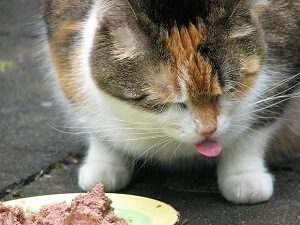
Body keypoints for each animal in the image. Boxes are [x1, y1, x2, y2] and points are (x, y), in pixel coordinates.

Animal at [42, 0, 300, 204]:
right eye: (174, 103)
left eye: (227, 91)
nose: (208, 130)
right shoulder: (64, 46)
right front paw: (104, 166)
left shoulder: (282, 62)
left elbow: (256, 128)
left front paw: (244, 176)